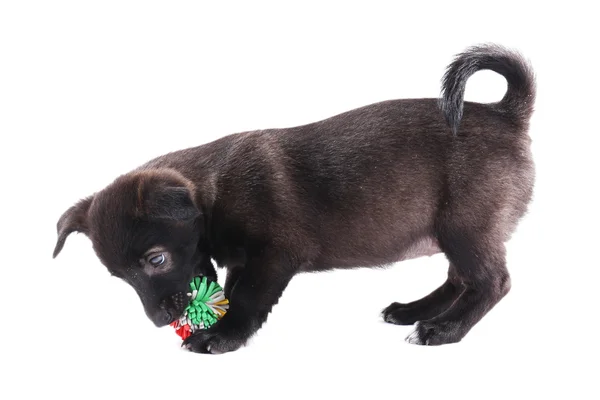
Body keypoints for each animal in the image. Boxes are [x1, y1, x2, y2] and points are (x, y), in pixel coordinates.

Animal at [55, 44, 536, 354]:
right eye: (119, 277)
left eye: (156, 260)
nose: (159, 323)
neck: (213, 191)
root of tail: (506, 115)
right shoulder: (244, 260)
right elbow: (234, 288)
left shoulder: (274, 257)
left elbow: (247, 297)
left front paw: (221, 336)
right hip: (453, 230)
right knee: (460, 278)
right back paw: (413, 312)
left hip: (465, 226)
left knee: (491, 282)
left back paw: (442, 330)